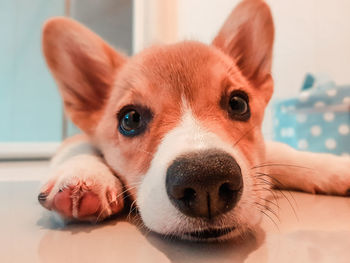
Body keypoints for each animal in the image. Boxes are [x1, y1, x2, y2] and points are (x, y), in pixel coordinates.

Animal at [38, 0, 350, 242]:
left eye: (238, 103)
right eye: (130, 119)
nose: (206, 182)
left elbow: (282, 152)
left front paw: (335, 166)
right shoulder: (77, 137)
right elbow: (78, 147)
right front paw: (84, 175)